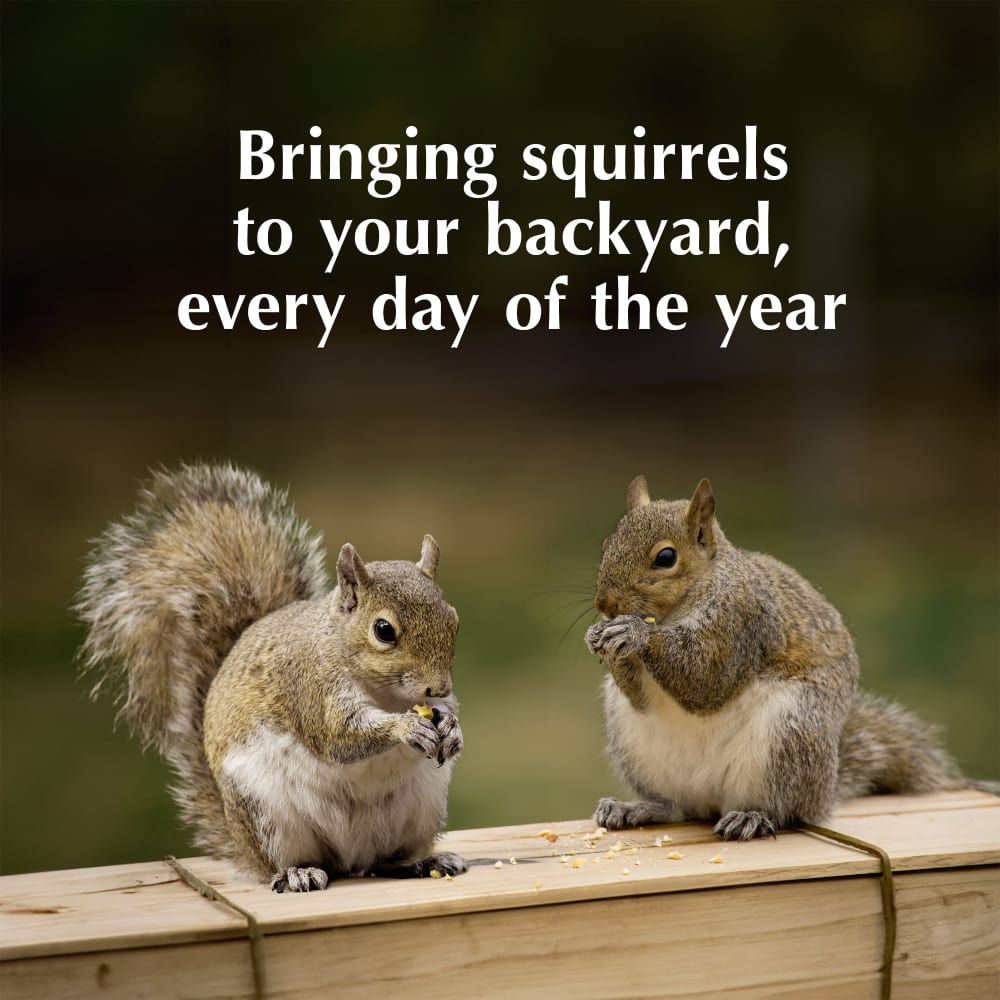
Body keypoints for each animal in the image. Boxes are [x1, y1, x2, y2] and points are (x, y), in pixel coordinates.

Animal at [77, 463, 466, 891]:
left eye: (453, 620)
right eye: (383, 630)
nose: (440, 687)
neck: (386, 693)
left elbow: (440, 715)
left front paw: (452, 727)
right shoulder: (311, 688)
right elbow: (340, 737)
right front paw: (405, 728)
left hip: (422, 806)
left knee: (384, 860)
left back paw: (421, 862)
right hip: (267, 815)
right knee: (280, 865)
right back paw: (299, 872)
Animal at [585, 475, 989, 840]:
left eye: (666, 558)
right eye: (606, 544)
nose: (605, 604)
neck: (679, 609)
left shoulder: (743, 623)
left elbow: (707, 681)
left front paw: (633, 634)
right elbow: (641, 697)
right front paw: (600, 636)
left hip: (792, 734)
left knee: (788, 812)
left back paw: (752, 817)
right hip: (635, 746)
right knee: (677, 807)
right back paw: (637, 808)